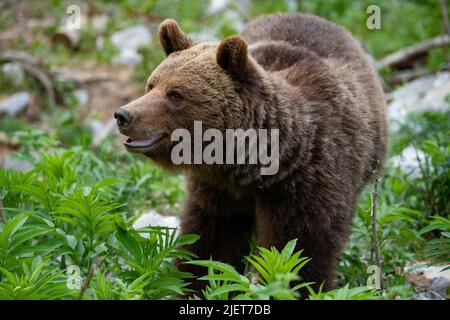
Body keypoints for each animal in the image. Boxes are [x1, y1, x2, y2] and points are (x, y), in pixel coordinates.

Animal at [115, 13, 386, 292]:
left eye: (176, 94)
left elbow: (299, 250)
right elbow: (211, 245)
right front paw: (195, 284)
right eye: (151, 84)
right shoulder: (217, 190)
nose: (124, 114)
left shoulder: (309, 184)